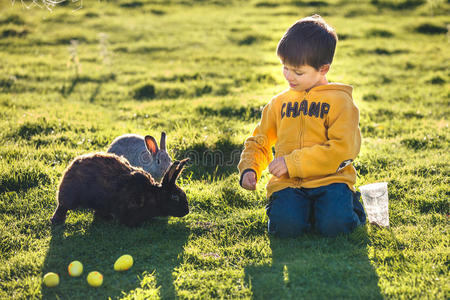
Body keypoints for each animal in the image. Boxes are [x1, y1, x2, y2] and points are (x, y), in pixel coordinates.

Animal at [51, 152, 190, 227]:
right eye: (175, 197)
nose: (187, 211)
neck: (153, 195)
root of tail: (72, 166)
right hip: (69, 197)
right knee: (62, 206)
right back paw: (56, 221)